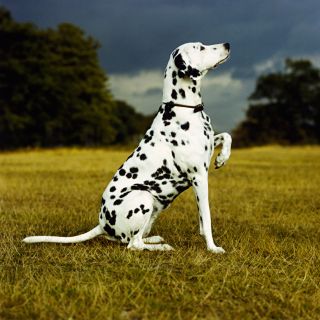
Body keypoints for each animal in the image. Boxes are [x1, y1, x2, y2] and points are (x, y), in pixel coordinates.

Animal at [23, 42, 232, 252]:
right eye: (201, 48)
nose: (227, 44)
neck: (183, 108)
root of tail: (102, 224)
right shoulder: (199, 177)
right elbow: (207, 218)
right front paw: (212, 247)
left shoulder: (207, 154)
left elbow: (226, 136)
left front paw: (222, 158)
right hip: (144, 198)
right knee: (133, 244)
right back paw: (161, 247)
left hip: (154, 209)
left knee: (134, 239)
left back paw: (154, 240)